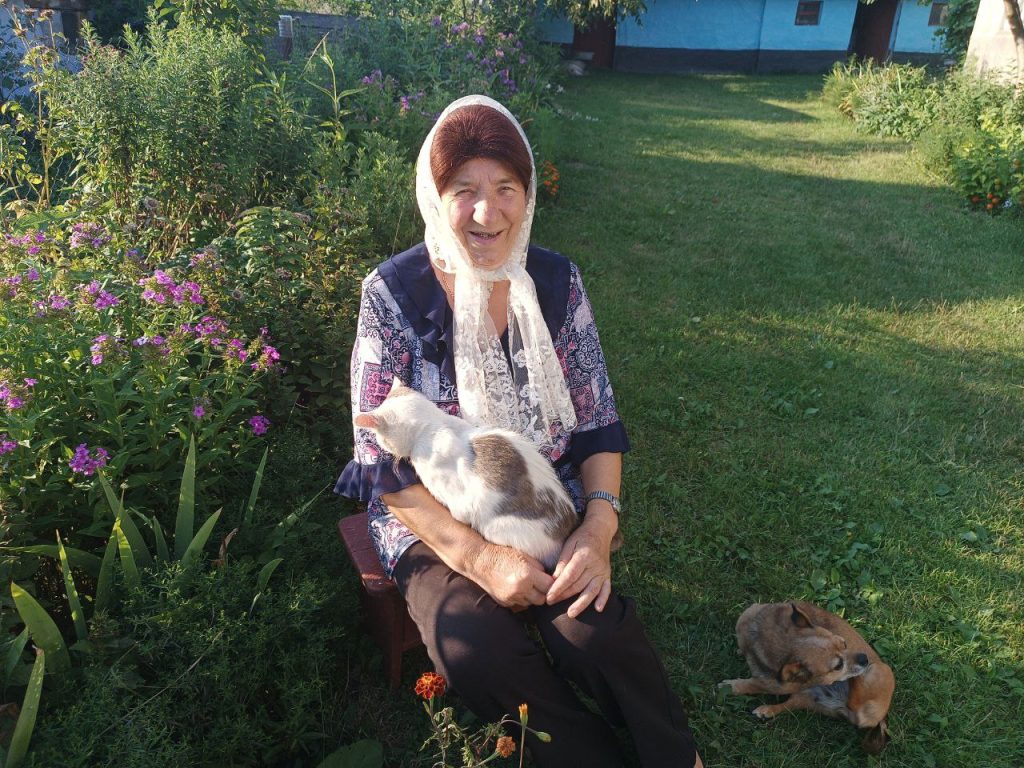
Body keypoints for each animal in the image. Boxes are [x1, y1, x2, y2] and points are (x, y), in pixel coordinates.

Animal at [354, 379, 610, 571]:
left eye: (379, 438)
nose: (381, 447)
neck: (433, 424)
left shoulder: (458, 502)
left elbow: (458, 511)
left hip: (494, 526)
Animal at [719, 601, 895, 754]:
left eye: (844, 643)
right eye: (838, 665)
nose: (865, 659)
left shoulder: (776, 685)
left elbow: (753, 685)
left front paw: (731, 687)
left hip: (882, 670)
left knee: (856, 703)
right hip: (807, 698)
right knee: (788, 706)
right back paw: (767, 710)